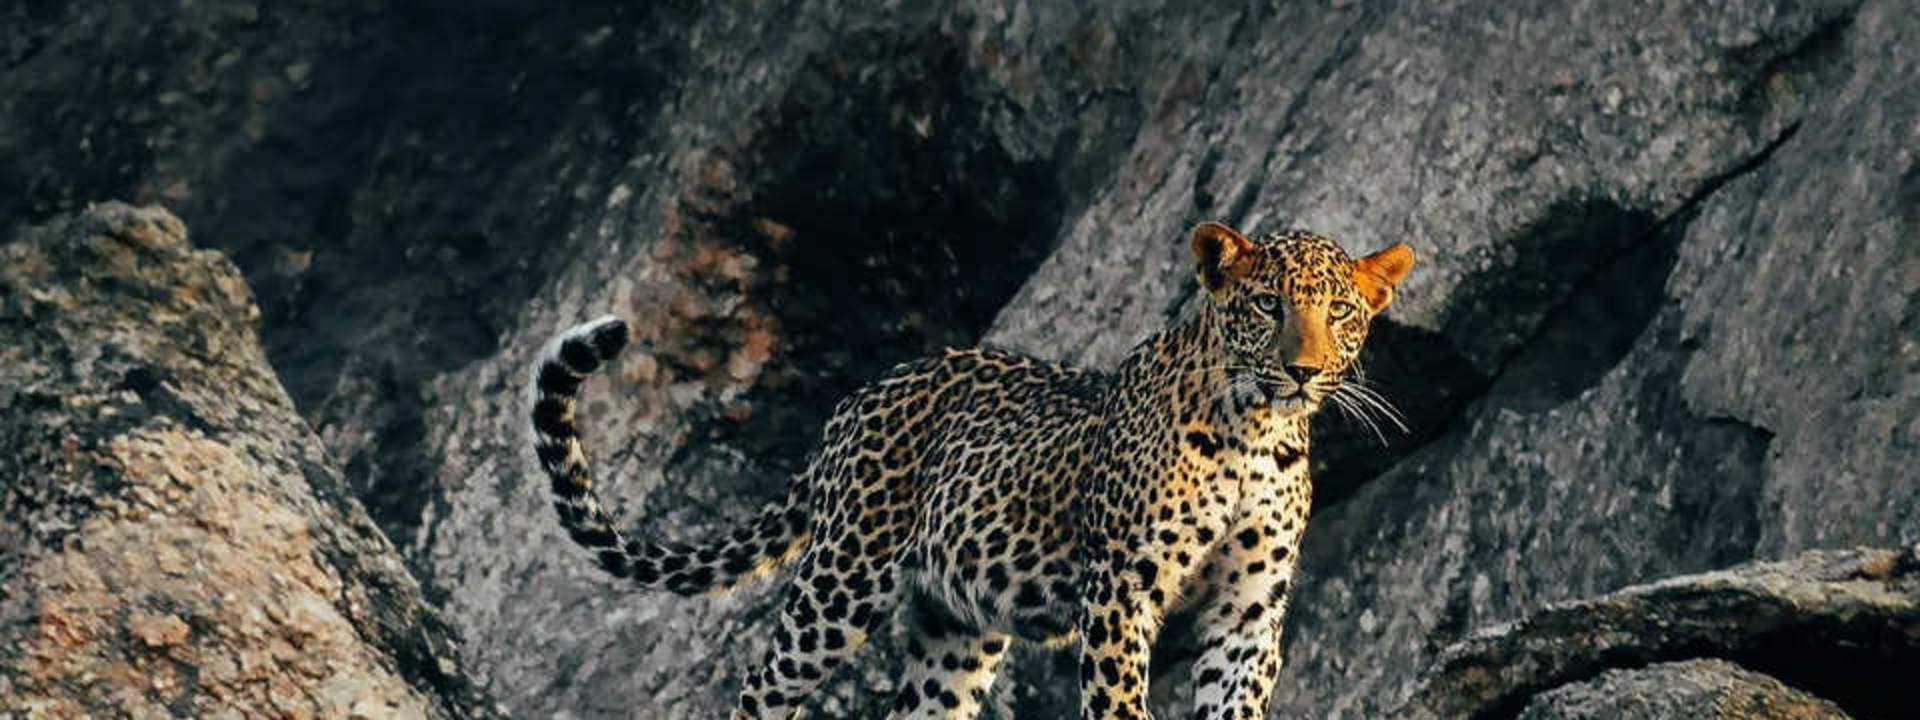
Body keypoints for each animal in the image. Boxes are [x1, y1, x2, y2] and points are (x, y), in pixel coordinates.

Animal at [528, 220, 1414, 719]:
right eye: (1267, 305)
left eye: (1340, 311)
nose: (1302, 370)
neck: (1259, 432)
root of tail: (860, 398)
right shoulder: (1120, 592)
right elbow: (1119, 703)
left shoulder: (1247, 611)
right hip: (842, 583)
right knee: (758, 691)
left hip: (955, 632)